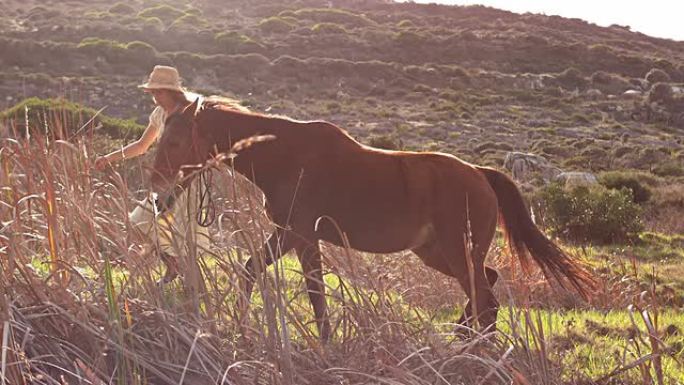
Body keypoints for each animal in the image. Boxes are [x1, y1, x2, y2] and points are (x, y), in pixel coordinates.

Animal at [150, 98, 592, 340]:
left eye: (174, 141)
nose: (157, 192)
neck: (286, 156)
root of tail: (481, 175)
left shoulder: (300, 236)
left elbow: (314, 293)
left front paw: (325, 342)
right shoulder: (293, 237)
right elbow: (252, 270)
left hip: (455, 251)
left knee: (486, 300)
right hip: (438, 254)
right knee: (488, 286)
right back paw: (460, 337)